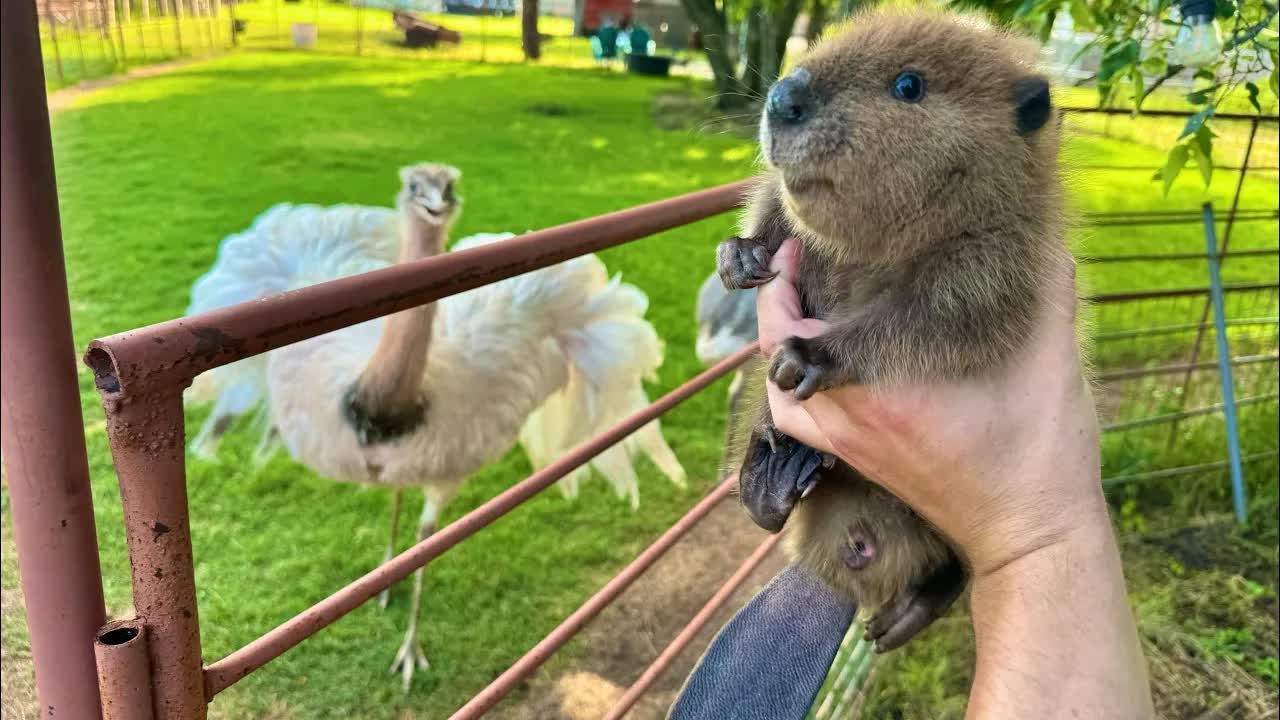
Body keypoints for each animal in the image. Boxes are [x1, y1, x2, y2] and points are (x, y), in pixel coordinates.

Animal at [721, 8, 1070, 650]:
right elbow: (777, 208)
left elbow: (935, 327)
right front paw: (740, 256)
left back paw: (899, 617)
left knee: (955, 564)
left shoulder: (998, 269)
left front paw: (806, 357)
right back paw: (777, 476)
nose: (783, 96)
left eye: (909, 84)